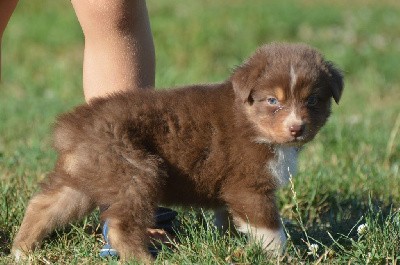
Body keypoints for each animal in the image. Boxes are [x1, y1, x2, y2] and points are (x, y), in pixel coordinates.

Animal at [13, 42, 344, 260]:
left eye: (313, 100)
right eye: (273, 101)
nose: (297, 128)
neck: (251, 121)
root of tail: (73, 126)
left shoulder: (230, 189)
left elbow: (227, 218)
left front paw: (230, 245)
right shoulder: (248, 185)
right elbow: (271, 230)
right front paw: (282, 256)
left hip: (85, 176)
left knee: (44, 205)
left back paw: (21, 251)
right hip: (136, 171)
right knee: (120, 225)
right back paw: (143, 259)